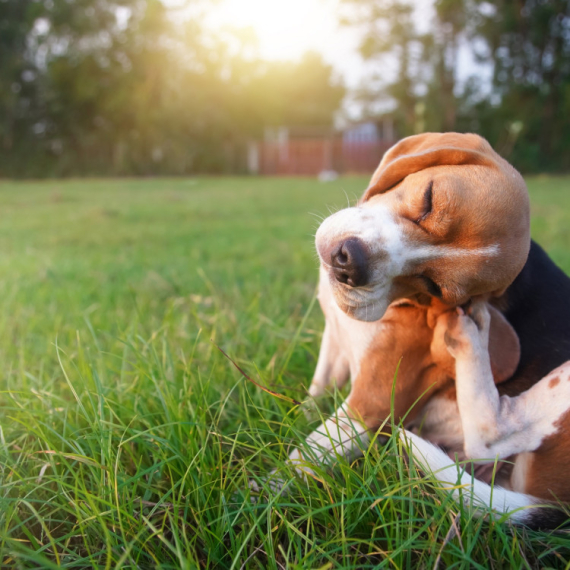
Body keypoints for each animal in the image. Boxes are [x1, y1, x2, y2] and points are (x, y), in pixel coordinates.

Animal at [255, 133, 568, 528]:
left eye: (434, 287)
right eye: (429, 200)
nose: (349, 264)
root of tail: (556, 505)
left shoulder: (369, 407)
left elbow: (298, 461)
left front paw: (250, 502)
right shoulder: (334, 343)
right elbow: (315, 396)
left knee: (493, 434)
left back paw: (471, 335)